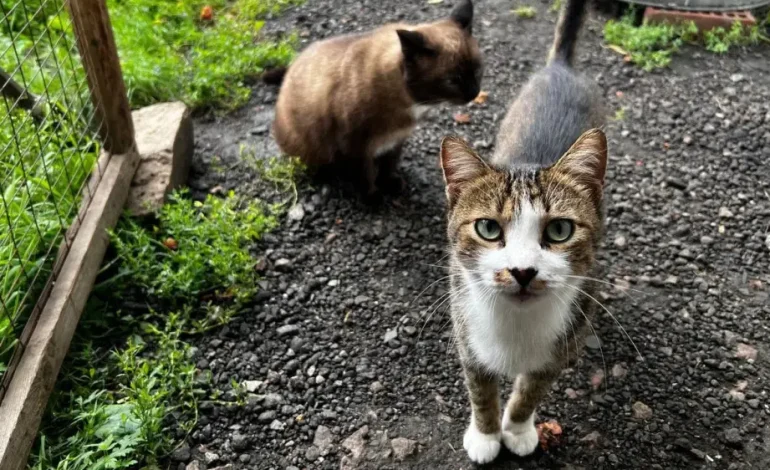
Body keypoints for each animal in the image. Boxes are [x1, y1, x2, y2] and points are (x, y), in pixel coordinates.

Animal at [272, 0, 480, 200]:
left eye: (477, 70)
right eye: (453, 80)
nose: (475, 93)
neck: (409, 104)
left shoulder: (396, 141)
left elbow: (389, 166)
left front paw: (390, 184)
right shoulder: (356, 148)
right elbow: (365, 175)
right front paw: (373, 198)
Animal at [438, 0, 608, 462]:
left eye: (561, 229)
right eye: (487, 228)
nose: (522, 271)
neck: (516, 323)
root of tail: (561, 67)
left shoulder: (559, 348)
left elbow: (531, 391)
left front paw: (516, 429)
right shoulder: (467, 335)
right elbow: (480, 392)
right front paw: (485, 435)